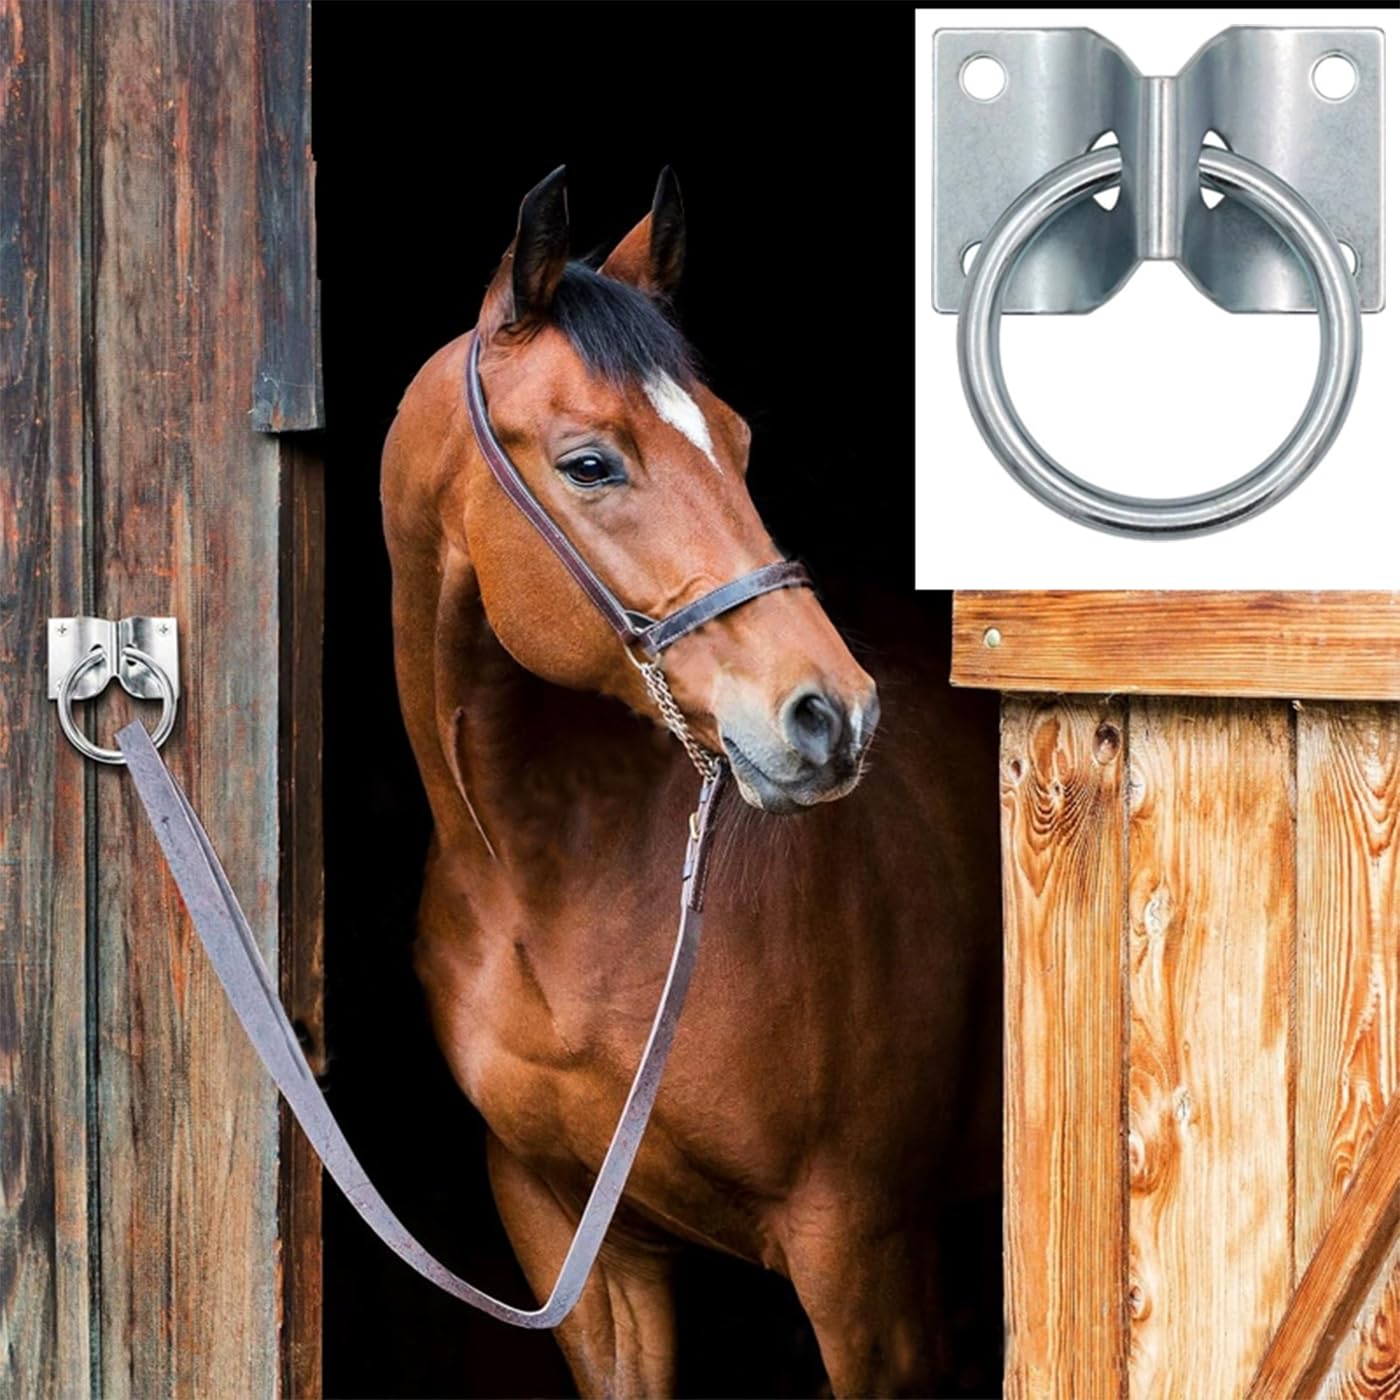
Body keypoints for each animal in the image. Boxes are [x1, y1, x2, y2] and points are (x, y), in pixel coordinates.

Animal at [380, 167, 999, 1397]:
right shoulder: (577, 1244)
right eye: (590, 462)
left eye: (739, 442)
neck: (556, 886)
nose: (830, 715)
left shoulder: (862, 1262)